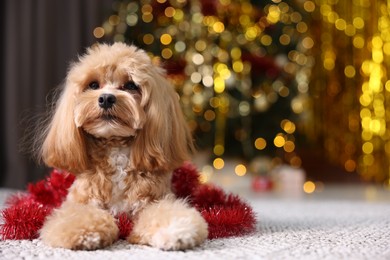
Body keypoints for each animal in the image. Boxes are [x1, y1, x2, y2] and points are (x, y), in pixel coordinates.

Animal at [38, 42, 209, 250]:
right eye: (93, 85)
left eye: (130, 85)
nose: (106, 98)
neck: (116, 148)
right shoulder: (80, 202)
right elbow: (79, 215)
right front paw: (85, 233)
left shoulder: (153, 200)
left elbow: (165, 212)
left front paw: (177, 229)